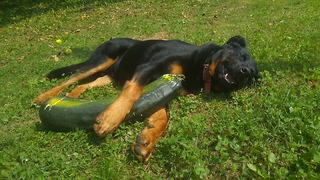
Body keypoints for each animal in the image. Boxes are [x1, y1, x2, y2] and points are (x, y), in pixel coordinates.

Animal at [33, 35, 262, 162]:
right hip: (102, 60)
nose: (245, 72)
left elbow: (163, 115)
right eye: (242, 56)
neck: (202, 66)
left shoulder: (166, 86)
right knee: (72, 77)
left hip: (111, 76)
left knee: (84, 84)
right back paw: (45, 96)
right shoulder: (147, 69)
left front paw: (148, 139)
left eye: (251, 76)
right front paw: (110, 119)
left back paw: (71, 97)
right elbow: (133, 93)